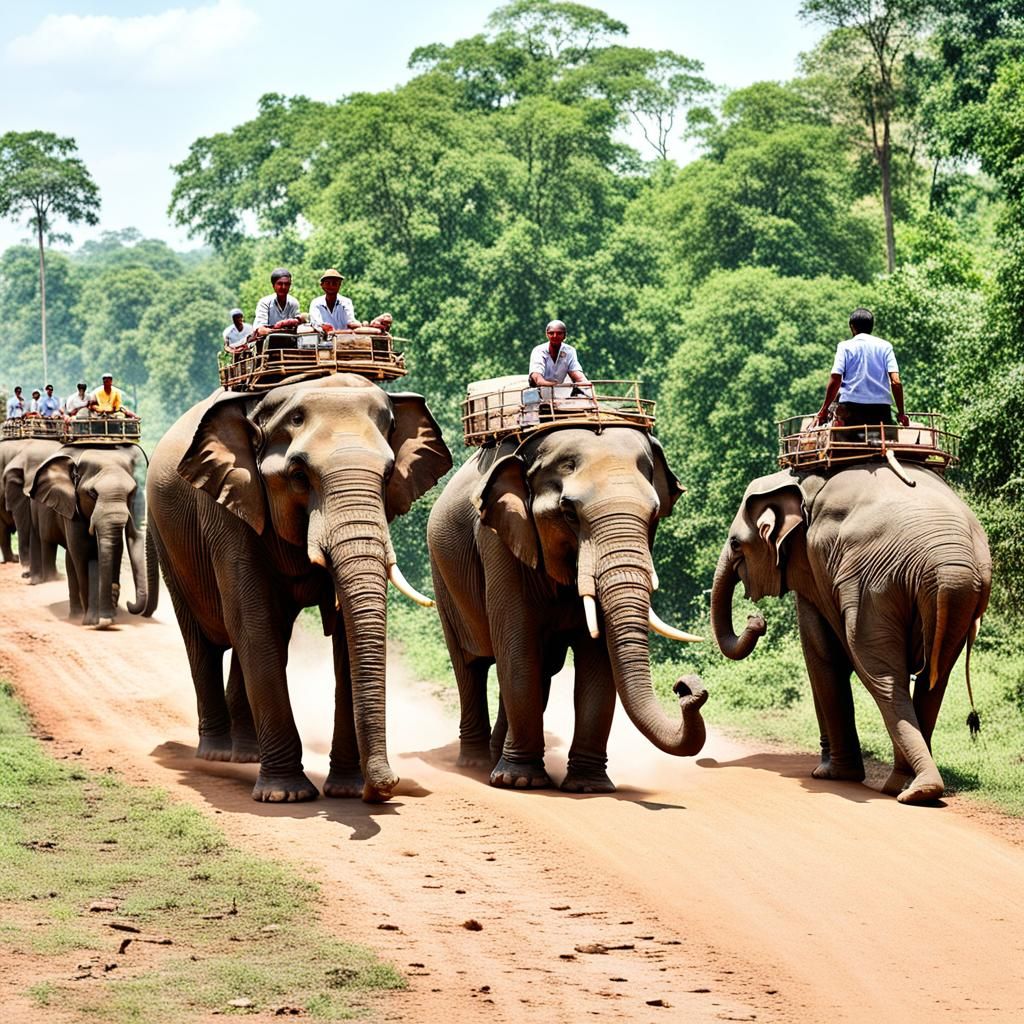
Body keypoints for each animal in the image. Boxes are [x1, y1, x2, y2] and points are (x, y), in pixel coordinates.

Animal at [29, 444, 151, 626]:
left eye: (132, 492)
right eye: (92, 494)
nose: (129, 604)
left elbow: (116, 549)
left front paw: (108, 616)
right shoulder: (72, 507)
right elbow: (82, 552)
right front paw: (94, 621)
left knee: (69, 558)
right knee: (56, 546)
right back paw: (77, 615)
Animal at [146, 373, 452, 803]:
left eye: (389, 475)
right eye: (298, 477)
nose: (387, 787)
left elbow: (340, 635)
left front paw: (346, 790)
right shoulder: (229, 507)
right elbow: (251, 620)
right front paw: (286, 796)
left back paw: (246, 755)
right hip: (165, 537)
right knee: (204, 638)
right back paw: (217, 754)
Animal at [427, 425, 707, 793]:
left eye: (653, 515)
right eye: (570, 513)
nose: (686, 687)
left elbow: (597, 661)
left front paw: (589, 787)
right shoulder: (500, 541)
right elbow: (518, 649)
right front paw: (521, 782)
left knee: (539, 670)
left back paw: (496, 757)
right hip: (442, 578)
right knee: (470, 665)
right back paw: (475, 764)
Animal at [712, 462, 991, 804]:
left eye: (735, 544)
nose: (756, 620)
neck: (799, 480)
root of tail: (950, 562)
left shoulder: (814, 560)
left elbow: (822, 650)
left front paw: (831, 774)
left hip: (875, 584)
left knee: (882, 676)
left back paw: (910, 789)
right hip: (960, 596)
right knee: (933, 680)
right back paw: (909, 785)